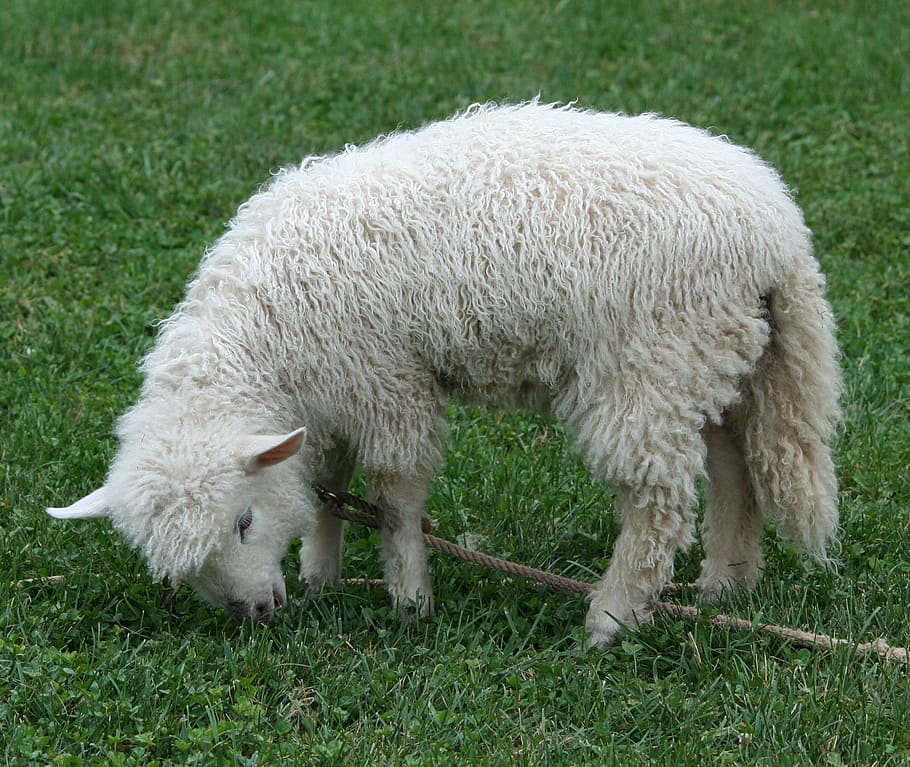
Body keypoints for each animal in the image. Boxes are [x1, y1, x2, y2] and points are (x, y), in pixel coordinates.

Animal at [47, 102, 841, 649]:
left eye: (242, 521)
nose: (254, 613)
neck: (267, 331)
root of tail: (778, 234)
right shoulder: (332, 391)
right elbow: (329, 482)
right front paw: (321, 573)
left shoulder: (385, 380)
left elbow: (394, 495)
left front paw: (409, 600)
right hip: (714, 355)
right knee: (736, 470)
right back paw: (724, 586)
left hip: (648, 363)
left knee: (659, 505)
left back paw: (611, 619)